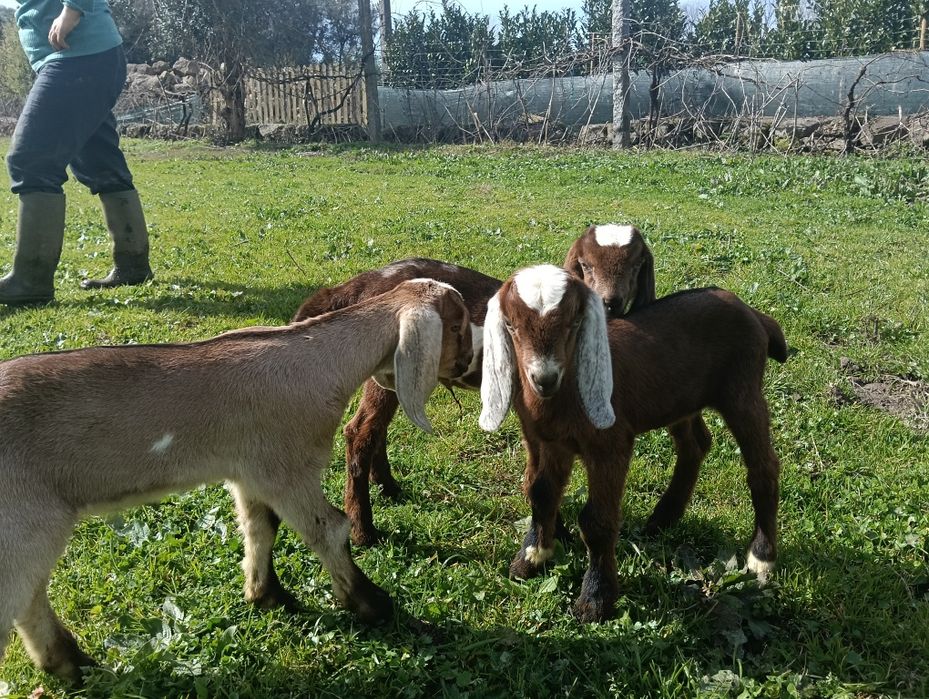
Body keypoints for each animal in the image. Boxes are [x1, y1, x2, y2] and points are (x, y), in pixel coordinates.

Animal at [0, 279, 473, 681]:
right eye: (456, 325)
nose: (468, 363)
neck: (320, 362)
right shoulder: (287, 468)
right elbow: (329, 529)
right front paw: (373, 604)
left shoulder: (249, 470)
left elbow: (260, 527)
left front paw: (266, 595)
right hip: (28, 518)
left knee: (29, 596)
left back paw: (71, 664)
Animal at [291, 225, 655, 547]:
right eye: (586, 265)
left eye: (637, 264)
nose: (610, 301)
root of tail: (365, 282)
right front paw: (557, 535)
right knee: (359, 432)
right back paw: (364, 531)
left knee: (375, 427)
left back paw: (388, 487)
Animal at [480, 265, 786, 622]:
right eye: (511, 325)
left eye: (574, 323)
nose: (545, 379)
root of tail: (753, 313)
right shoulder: (549, 442)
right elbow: (540, 493)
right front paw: (531, 558)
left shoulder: (610, 444)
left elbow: (596, 522)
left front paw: (595, 600)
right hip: (680, 399)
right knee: (695, 444)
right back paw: (663, 518)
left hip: (742, 390)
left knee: (763, 466)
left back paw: (762, 556)